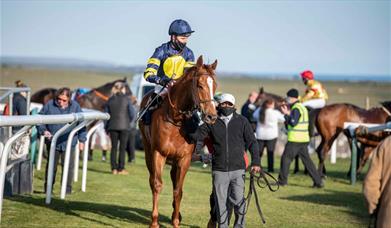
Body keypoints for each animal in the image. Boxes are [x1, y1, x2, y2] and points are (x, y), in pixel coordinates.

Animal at [139, 55, 217, 228]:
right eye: (200, 85)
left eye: (215, 86)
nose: (212, 116)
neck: (175, 120)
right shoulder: (158, 153)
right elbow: (157, 184)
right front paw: (154, 221)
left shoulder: (184, 158)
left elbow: (178, 190)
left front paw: (175, 220)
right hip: (148, 151)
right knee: (151, 179)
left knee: (174, 180)